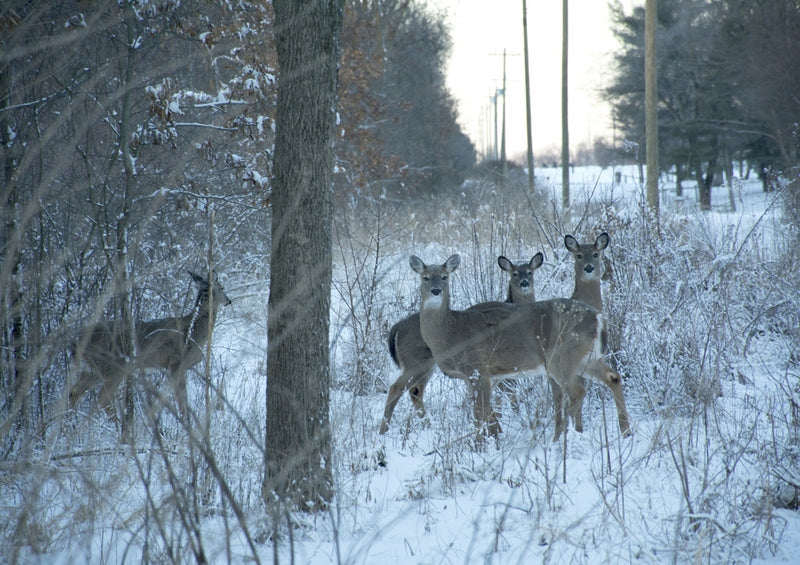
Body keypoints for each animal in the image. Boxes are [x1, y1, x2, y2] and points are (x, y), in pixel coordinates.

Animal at [68, 268, 231, 418]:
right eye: (222, 287)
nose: (229, 301)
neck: (194, 329)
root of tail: (75, 342)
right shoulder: (177, 363)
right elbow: (181, 399)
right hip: (113, 366)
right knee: (103, 399)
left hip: (92, 370)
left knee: (74, 392)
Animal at [380, 253, 544, 434]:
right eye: (514, 274)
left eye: (530, 272)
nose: (524, 283)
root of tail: (396, 327)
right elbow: (505, 392)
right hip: (416, 362)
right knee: (397, 388)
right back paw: (385, 431)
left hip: (425, 365)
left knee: (415, 391)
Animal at [412, 253, 632, 442]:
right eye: (425, 278)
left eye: (444, 277)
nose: (436, 290)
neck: (451, 332)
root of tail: (598, 317)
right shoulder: (482, 376)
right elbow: (485, 411)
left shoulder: (477, 368)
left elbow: (479, 412)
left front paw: (479, 445)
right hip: (586, 358)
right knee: (613, 377)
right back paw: (625, 431)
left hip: (562, 355)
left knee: (577, 391)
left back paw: (561, 438)